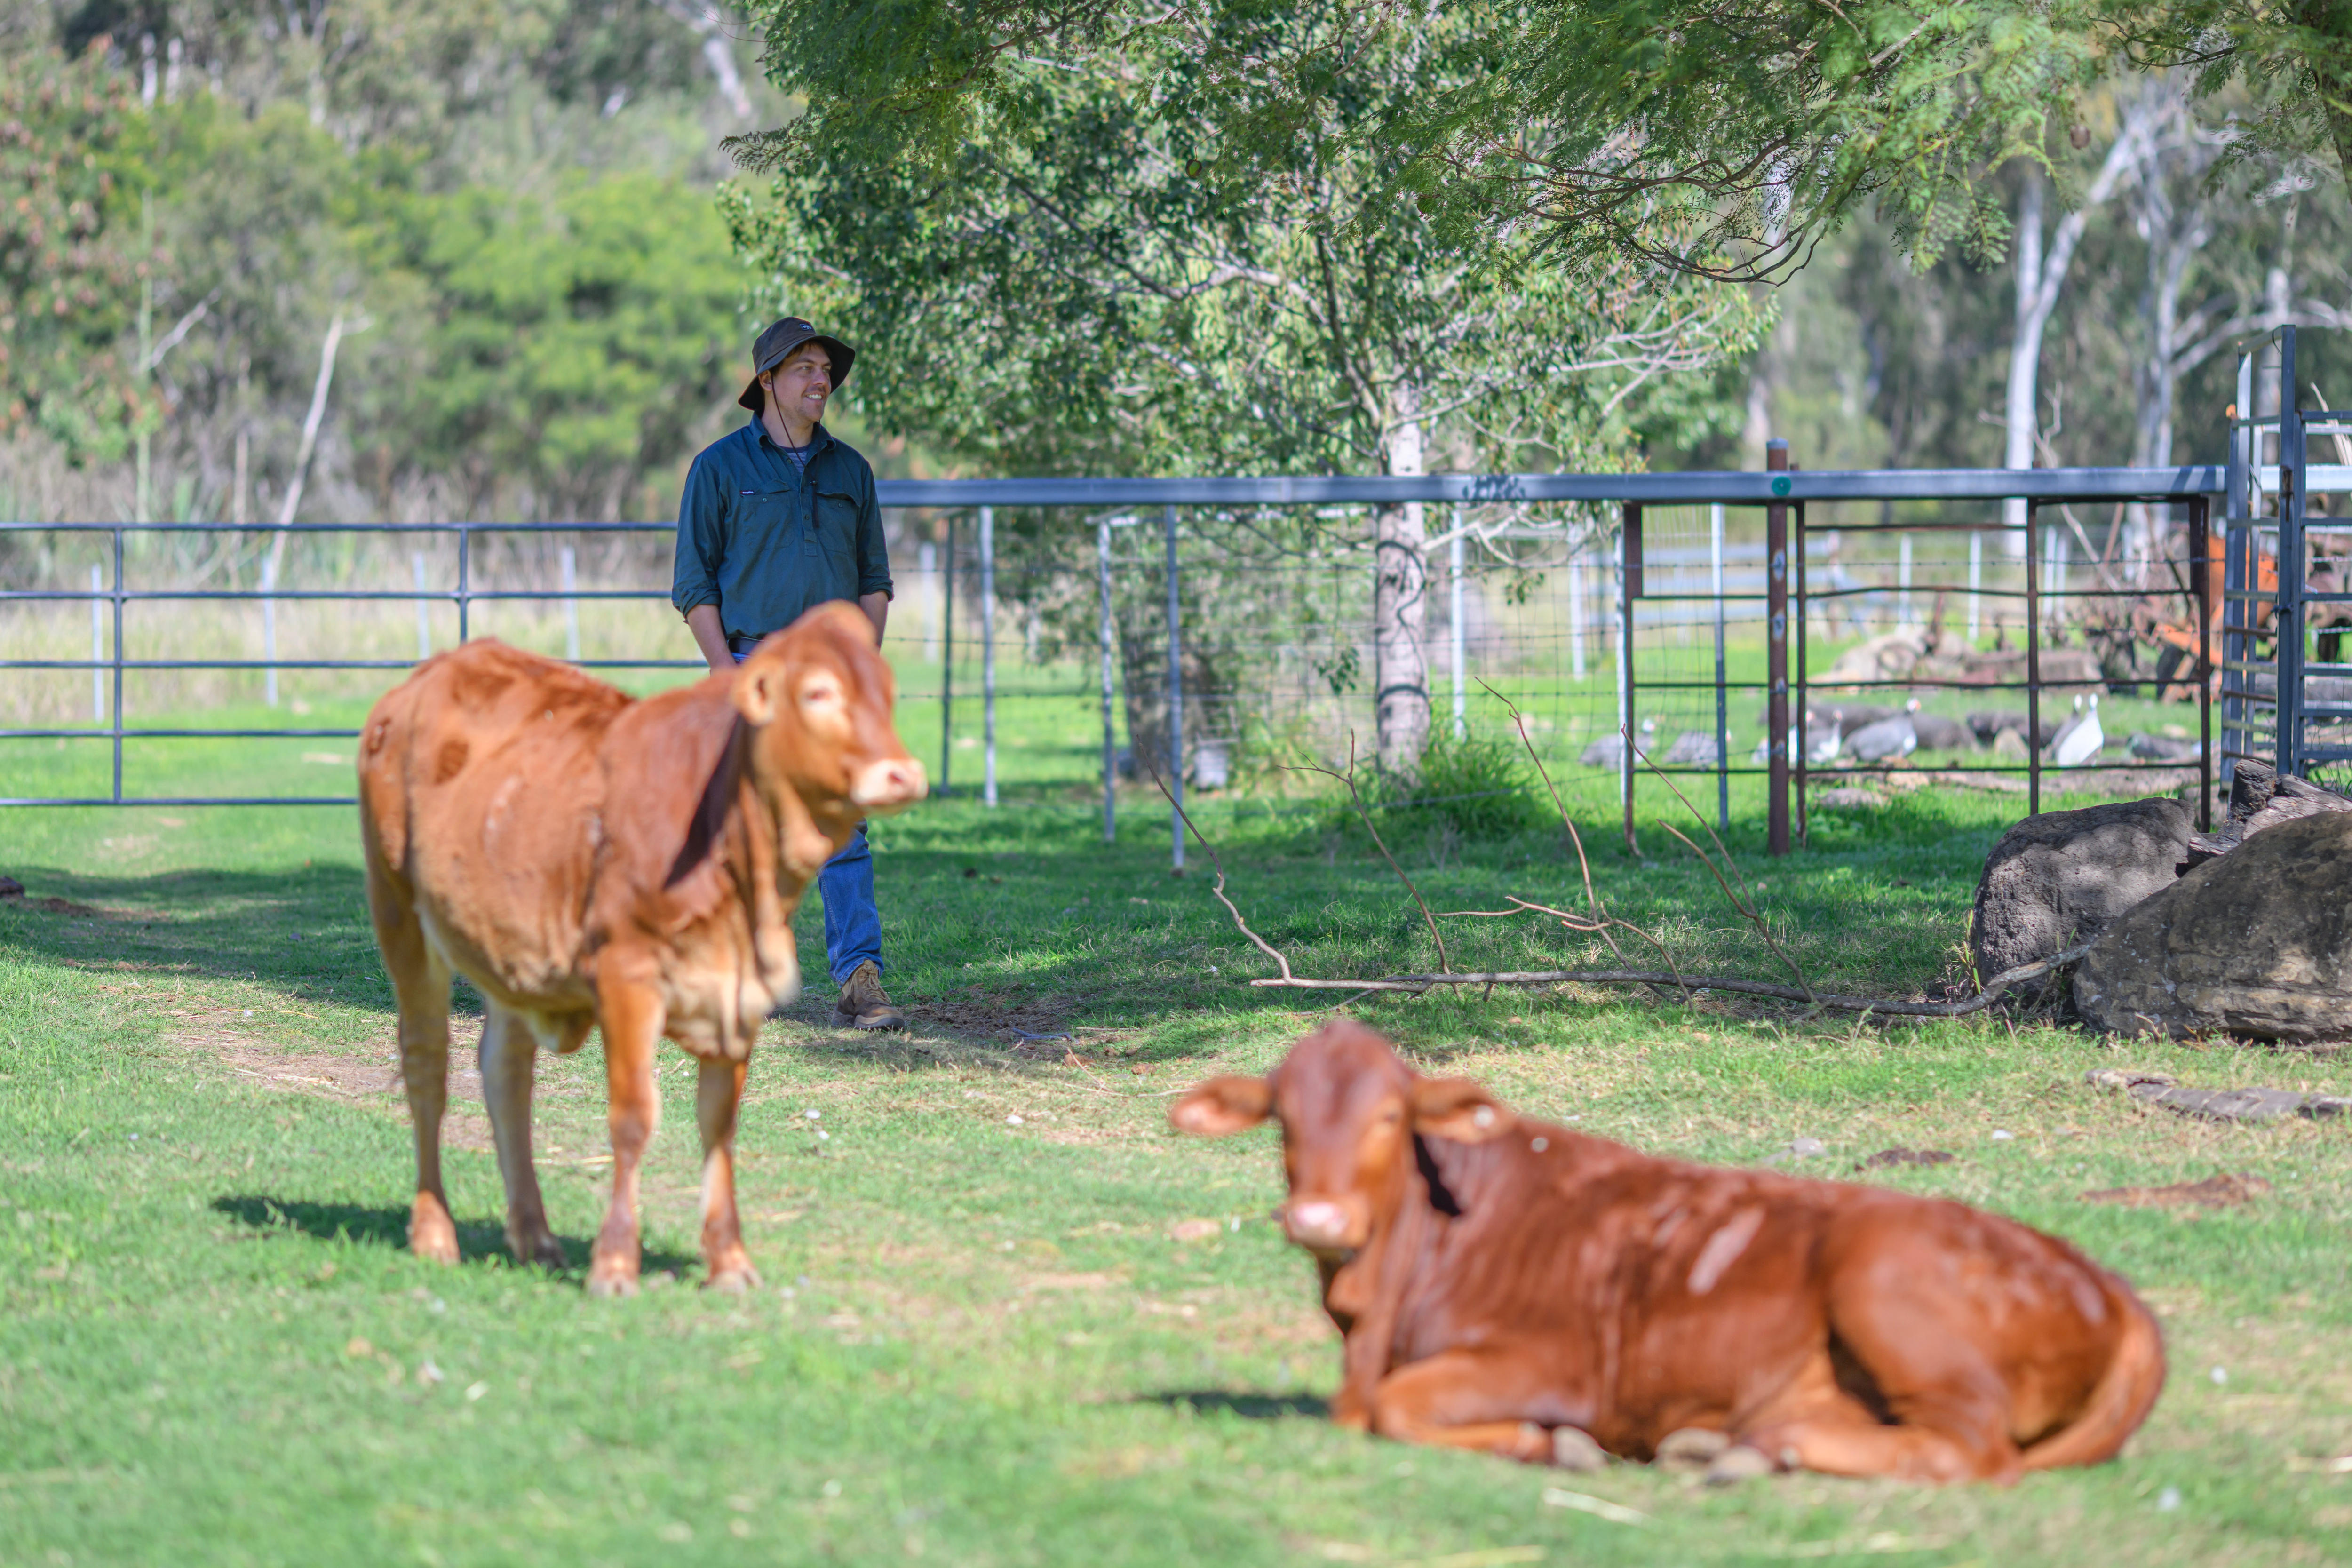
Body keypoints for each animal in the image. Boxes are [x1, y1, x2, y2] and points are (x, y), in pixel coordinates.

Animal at [359, 601, 924, 1296]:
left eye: (887, 692)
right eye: (818, 692)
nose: (903, 774)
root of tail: (424, 678)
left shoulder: (738, 994)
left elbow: (719, 1121)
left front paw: (728, 1259)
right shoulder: (626, 978)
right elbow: (633, 1116)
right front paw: (615, 1263)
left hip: (507, 948)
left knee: (505, 1073)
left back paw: (536, 1237)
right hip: (399, 911)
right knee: (426, 1065)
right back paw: (435, 1233)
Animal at [1171, 1020, 2165, 1484]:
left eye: (1389, 1116)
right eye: (1283, 1117)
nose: (1318, 1216)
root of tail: (2106, 1281)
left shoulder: (1556, 1363)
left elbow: (1397, 1404)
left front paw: (1553, 1444)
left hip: (1886, 1282)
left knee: (1970, 1449)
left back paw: (1753, 1448)